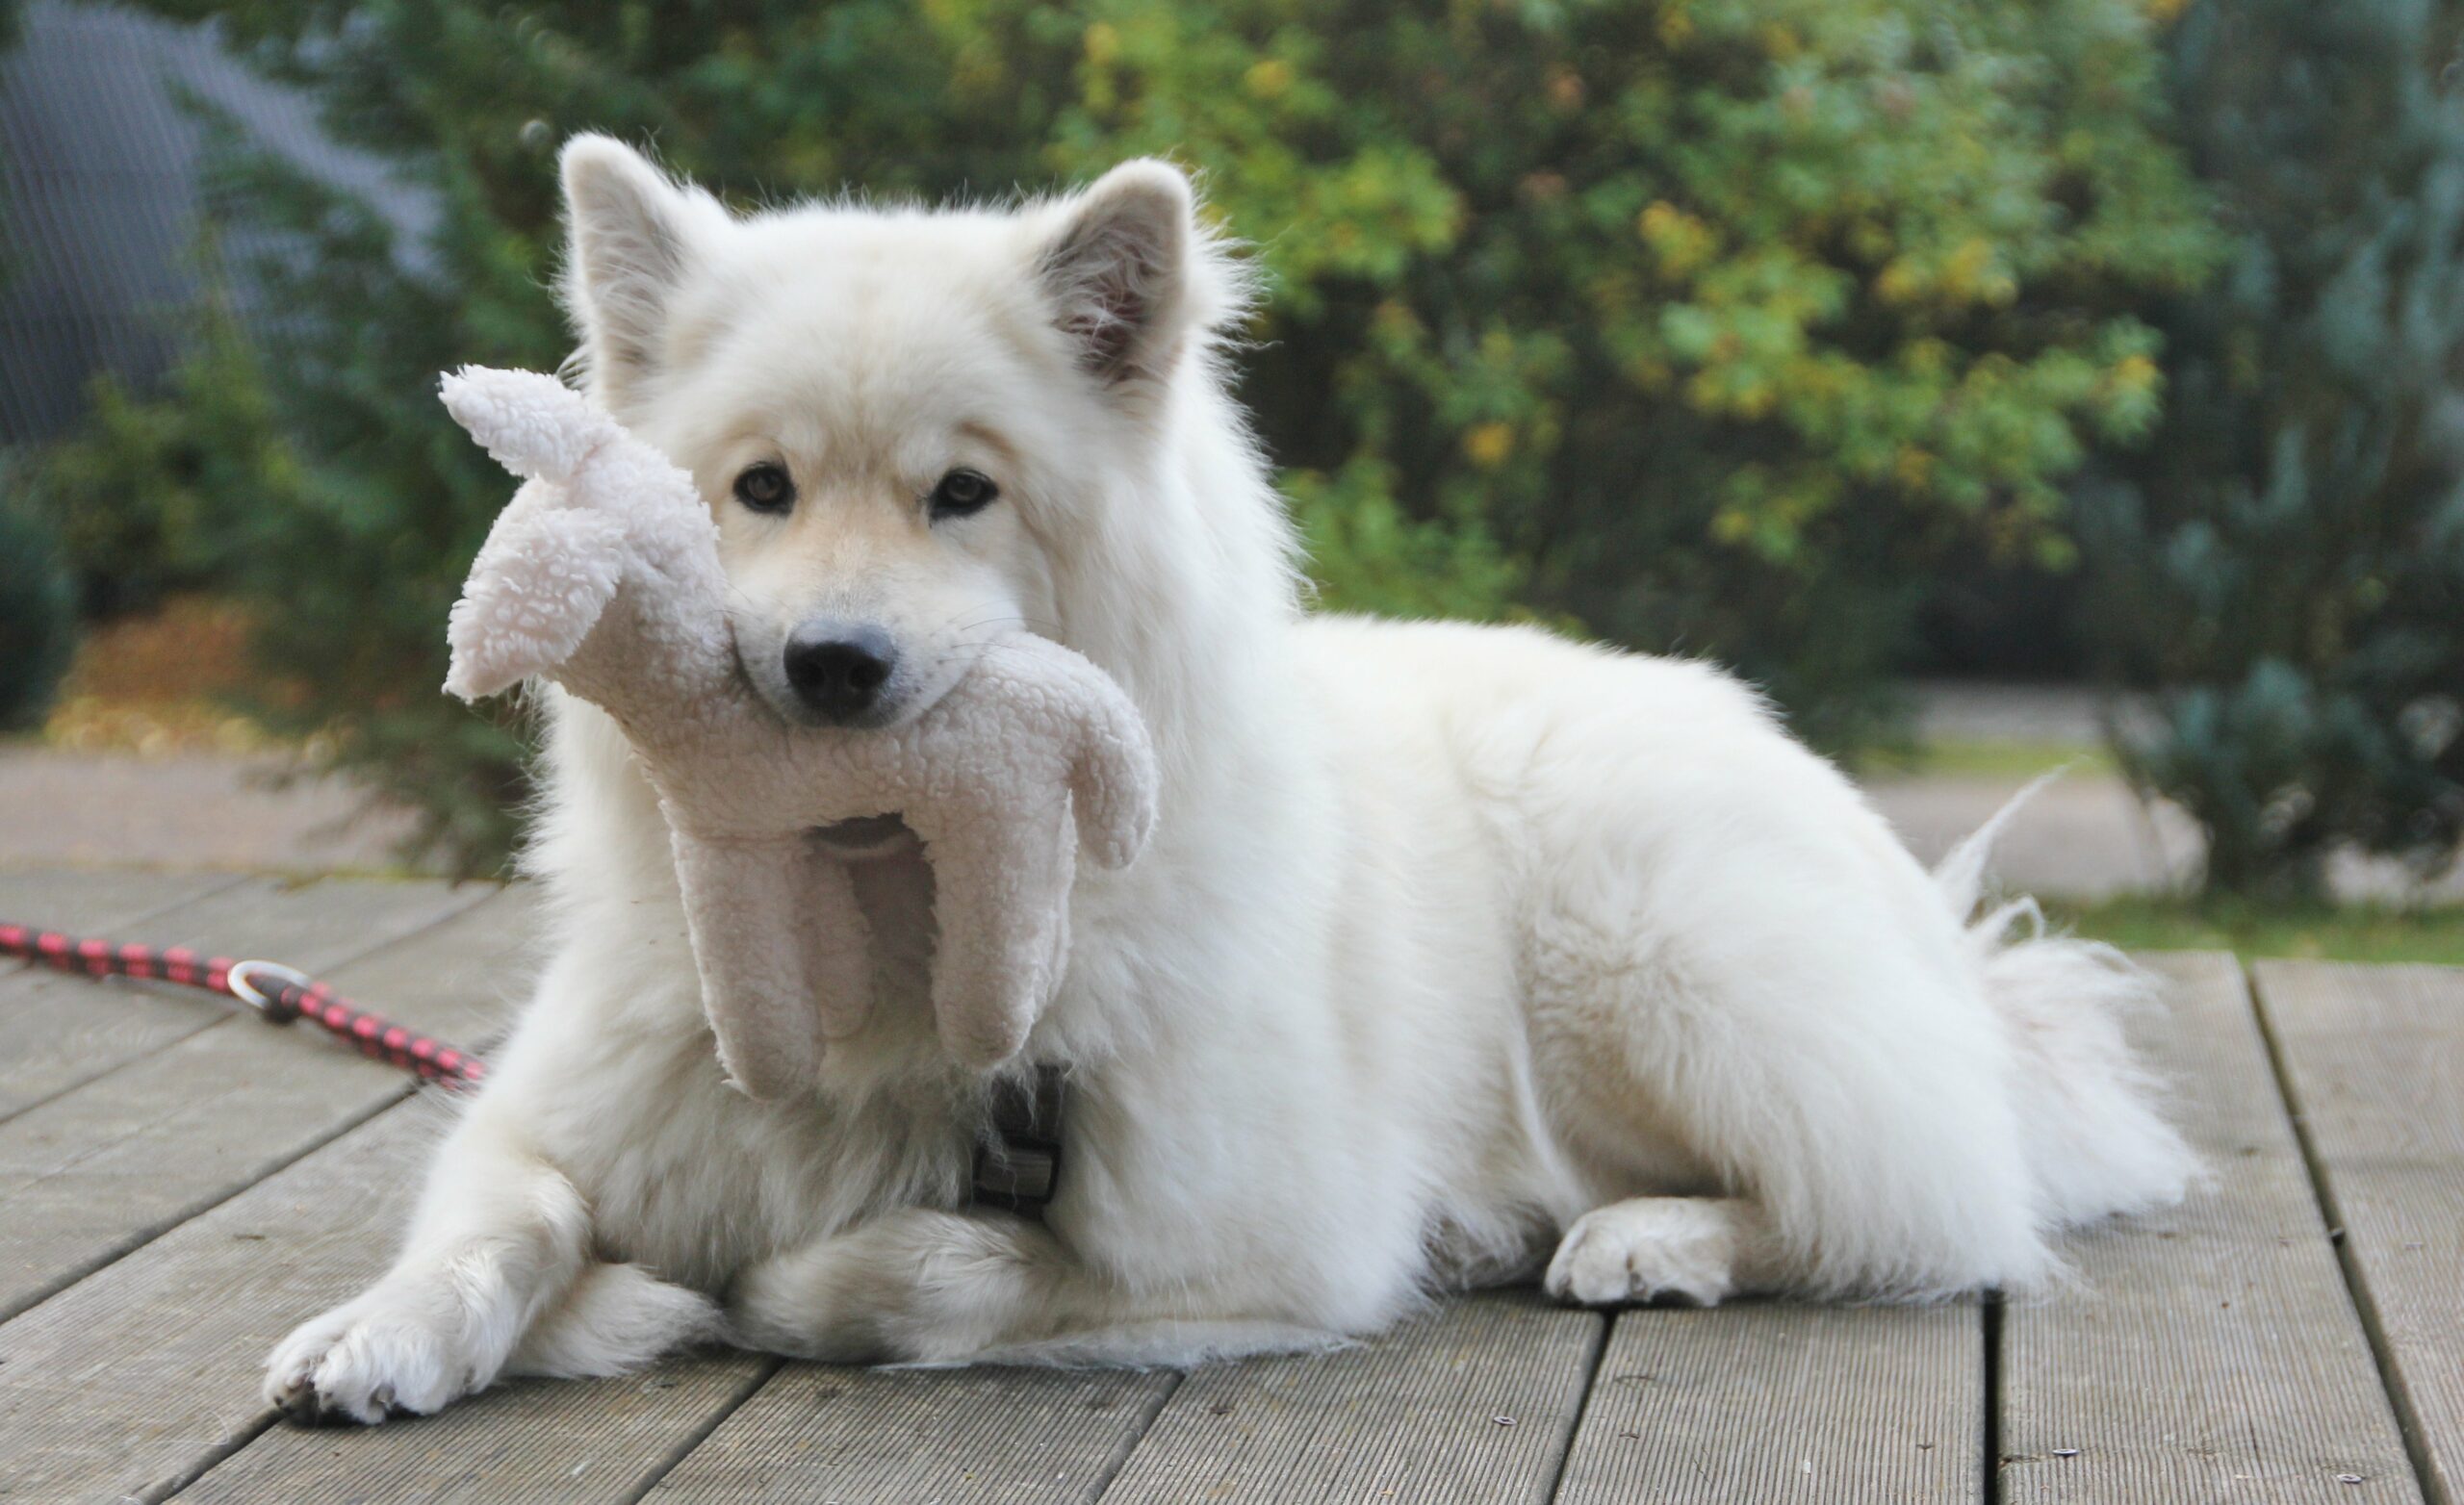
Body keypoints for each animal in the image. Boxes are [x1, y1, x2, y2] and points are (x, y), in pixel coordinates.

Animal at [265, 141, 2197, 1428]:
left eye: (962, 493)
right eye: (760, 488)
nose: (832, 669)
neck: (891, 929)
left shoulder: (1252, 1236)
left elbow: (912, 1270)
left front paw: (747, 1289)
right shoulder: (553, 1113)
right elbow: (495, 1222)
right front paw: (378, 1333)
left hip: (1657, 966)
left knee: (1911, 1207)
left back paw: (1645, 1237)